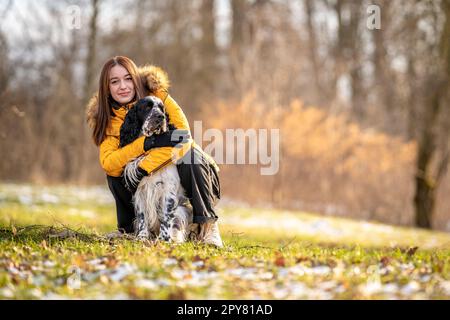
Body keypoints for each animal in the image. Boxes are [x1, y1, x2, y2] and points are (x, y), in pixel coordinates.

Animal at [118, 95, 192, 242]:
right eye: (147, 107)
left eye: (162, 108)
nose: (161, 116)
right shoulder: (140, 191)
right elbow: (142, 217)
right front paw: (142, 237)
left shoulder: (167, 191)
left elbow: (166, 218)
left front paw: (165, 239)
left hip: (181, 210)